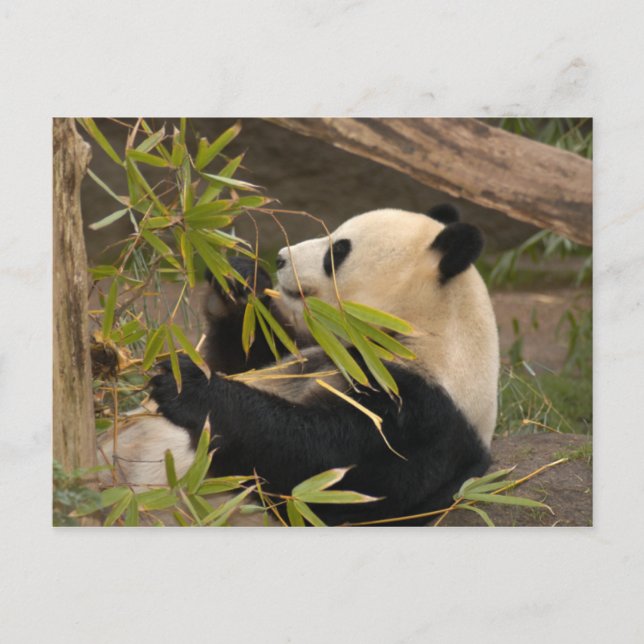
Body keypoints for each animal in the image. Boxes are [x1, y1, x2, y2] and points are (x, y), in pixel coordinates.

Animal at [98, 205, 499, 526]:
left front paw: (188, 387)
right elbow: (247, 354)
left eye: (337, 252)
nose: (279, 257)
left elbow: (314, 462)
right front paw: (240, 281)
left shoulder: (420, 416)